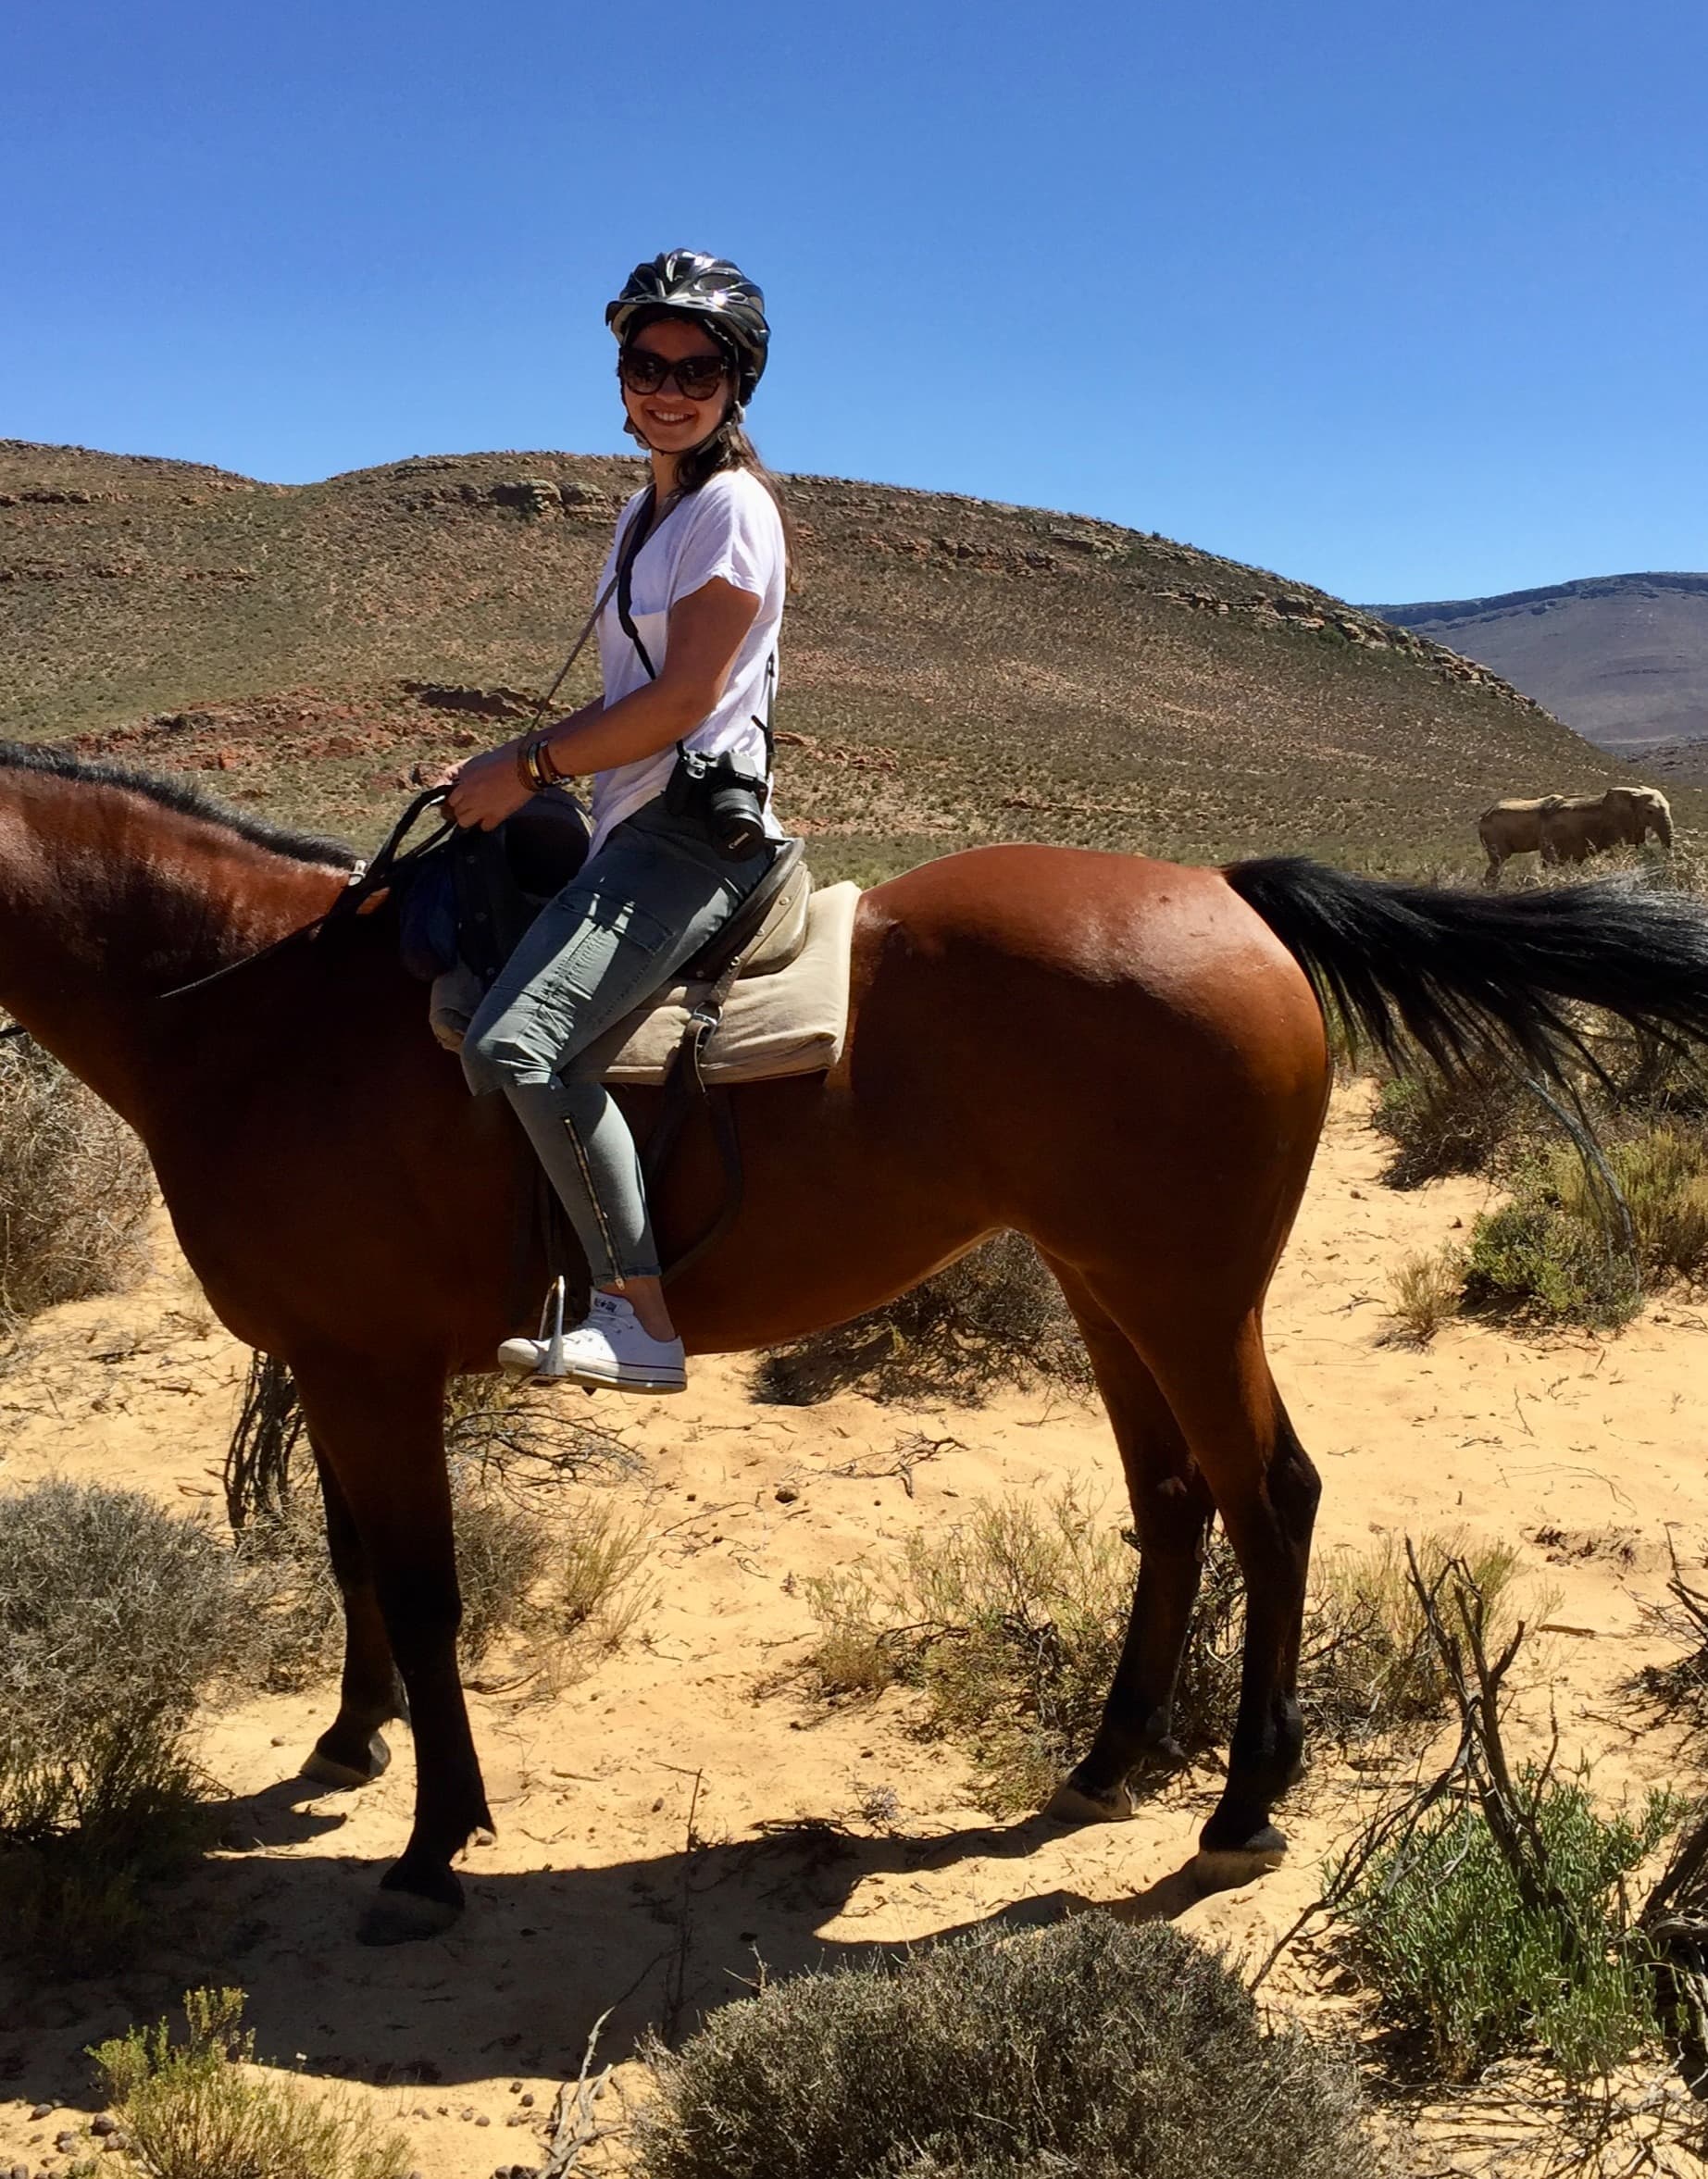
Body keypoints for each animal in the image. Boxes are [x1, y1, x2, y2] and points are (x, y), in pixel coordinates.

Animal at [5, 741, 1708, 1945]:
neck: (244, 1009)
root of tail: (1228, 892)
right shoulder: (336, 1354)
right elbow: (357, 1559)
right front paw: (349, 1746)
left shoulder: (365, 1365)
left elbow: (424, 1591)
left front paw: (433, 1842)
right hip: (1105, 1282)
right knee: (1174, 1501)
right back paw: (1108, 1761)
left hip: (1189, 1291)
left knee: (1269, 1494)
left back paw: (1237, 1807)